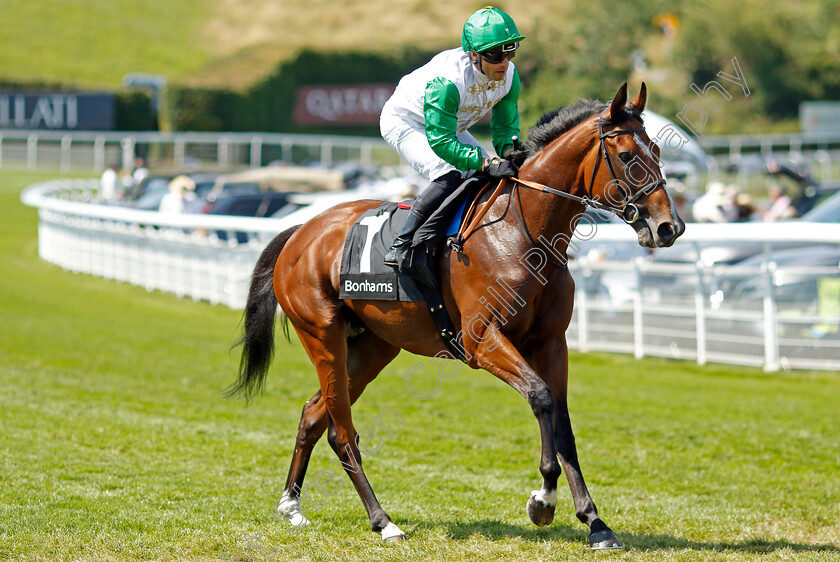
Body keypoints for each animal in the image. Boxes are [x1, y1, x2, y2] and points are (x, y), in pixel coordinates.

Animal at [228, 82, 684, 548]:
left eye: (657, 150)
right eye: (627, 156)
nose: (669, 227)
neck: (522, 232)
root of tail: (299, 231)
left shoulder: (551, 343)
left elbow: (563, 424)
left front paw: (595, 522)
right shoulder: (482, 339)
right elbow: (540, 398)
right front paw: (543, 499)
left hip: (372, 348)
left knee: (313, 414)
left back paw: (291, 505)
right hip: (323, 337)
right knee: (341, 431)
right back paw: (383, 521)